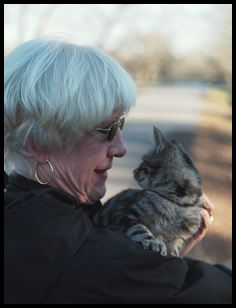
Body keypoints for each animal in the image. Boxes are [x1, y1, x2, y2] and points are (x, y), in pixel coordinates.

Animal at [93, 126, 203, 256]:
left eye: (144, 162)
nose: (134, 171)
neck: (178, 202)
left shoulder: (180, 237)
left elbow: (175, 246)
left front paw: (173, 253)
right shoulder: (125, 214)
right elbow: (141, 230)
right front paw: (153, 242)